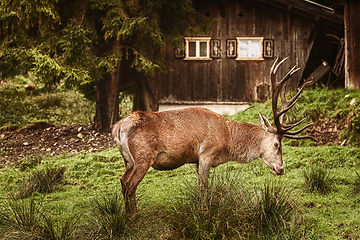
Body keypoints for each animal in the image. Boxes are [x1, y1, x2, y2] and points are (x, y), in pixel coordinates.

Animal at [112, 57, 316, 214]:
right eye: (277, 144)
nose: (281, 169)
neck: (227, 140)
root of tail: (117, 127)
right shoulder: (206, 153)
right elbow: (204, 187)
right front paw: (204, 212)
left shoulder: (195, 160)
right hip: (143, 156)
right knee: (131, 185)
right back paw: (134, 216)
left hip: (128, 160)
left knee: (123, 181)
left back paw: (127, 215)